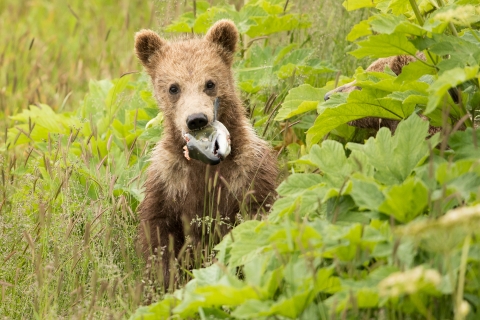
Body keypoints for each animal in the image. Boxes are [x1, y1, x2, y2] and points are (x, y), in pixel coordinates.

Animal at [134, 19, 278, 290]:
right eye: (173, 87)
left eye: (210, 83)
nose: (196, 119)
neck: (203, 165)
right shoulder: (169, 181)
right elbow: (159, 238)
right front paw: (164, 282)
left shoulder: (248, 174)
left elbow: (256, 219)